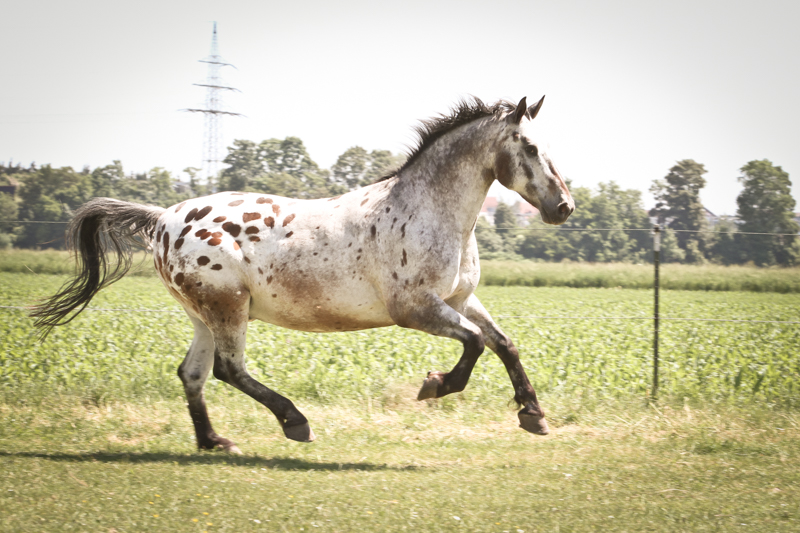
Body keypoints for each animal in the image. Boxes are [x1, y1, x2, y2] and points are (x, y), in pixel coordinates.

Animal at [33, 96, 574, 453]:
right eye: (529, 147)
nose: (563, 206)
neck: (429, 212)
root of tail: (163, 217)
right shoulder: (416, 309)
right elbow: (475, 346)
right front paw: (433, 386)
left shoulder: (460, 301)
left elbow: (504, 344)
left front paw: (534, 416)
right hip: (228, 307)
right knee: (228, 369)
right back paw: (295, 422)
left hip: (202, 314)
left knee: (193, 373)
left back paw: (214, 441)